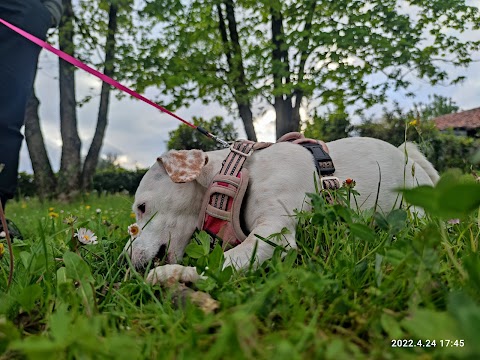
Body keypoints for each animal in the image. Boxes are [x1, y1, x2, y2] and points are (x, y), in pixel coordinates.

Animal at [124, 137, 438, 284]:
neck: (237, 175)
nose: (124, 260)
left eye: (142, 207)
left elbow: (216, 264)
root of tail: (410, 158)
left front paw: (170, 275)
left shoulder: (273, 235)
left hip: (414, 212)